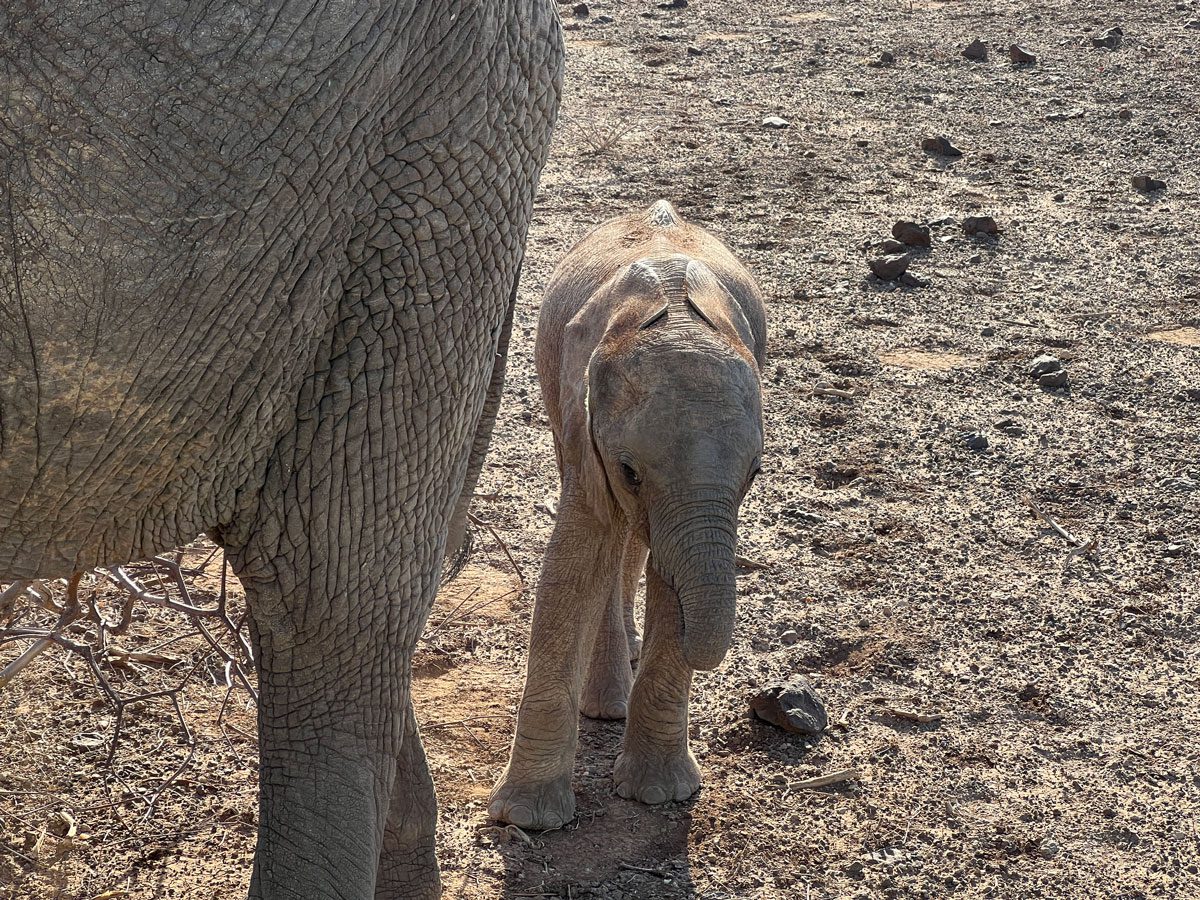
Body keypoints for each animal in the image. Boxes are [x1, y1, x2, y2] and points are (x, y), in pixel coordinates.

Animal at [489, 200, 763, 830]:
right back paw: (607, 703)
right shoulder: (583, 418)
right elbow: (575, 562)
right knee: (614, 539)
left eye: (755, 474)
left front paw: (658, 796)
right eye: (631, 472)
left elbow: (666, 574)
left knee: (636, 545)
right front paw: (526, 821)